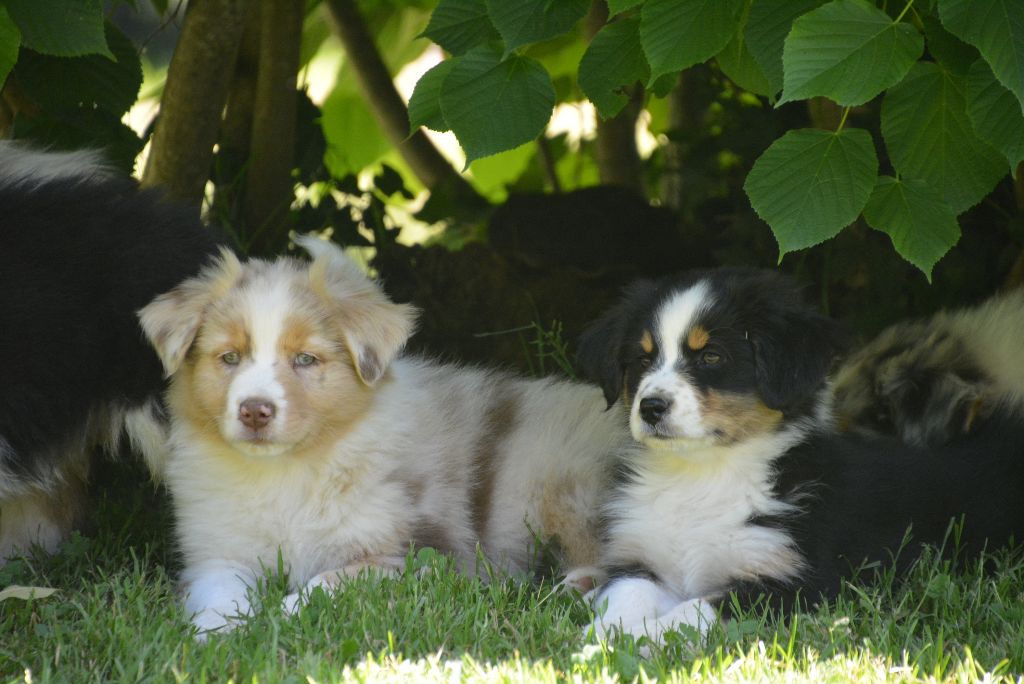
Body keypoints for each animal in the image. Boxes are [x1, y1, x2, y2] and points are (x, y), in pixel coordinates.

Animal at [139, 236, 626, 634]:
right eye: (230, 357)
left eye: (305, 359)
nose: (255, 410)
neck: (287, 470)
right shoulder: (217, 552)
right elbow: (218, 592)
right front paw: (217, 633)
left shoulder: (413, 554)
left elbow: (327, 582)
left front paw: (284, 612)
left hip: (568, 485)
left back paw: (575, 588)